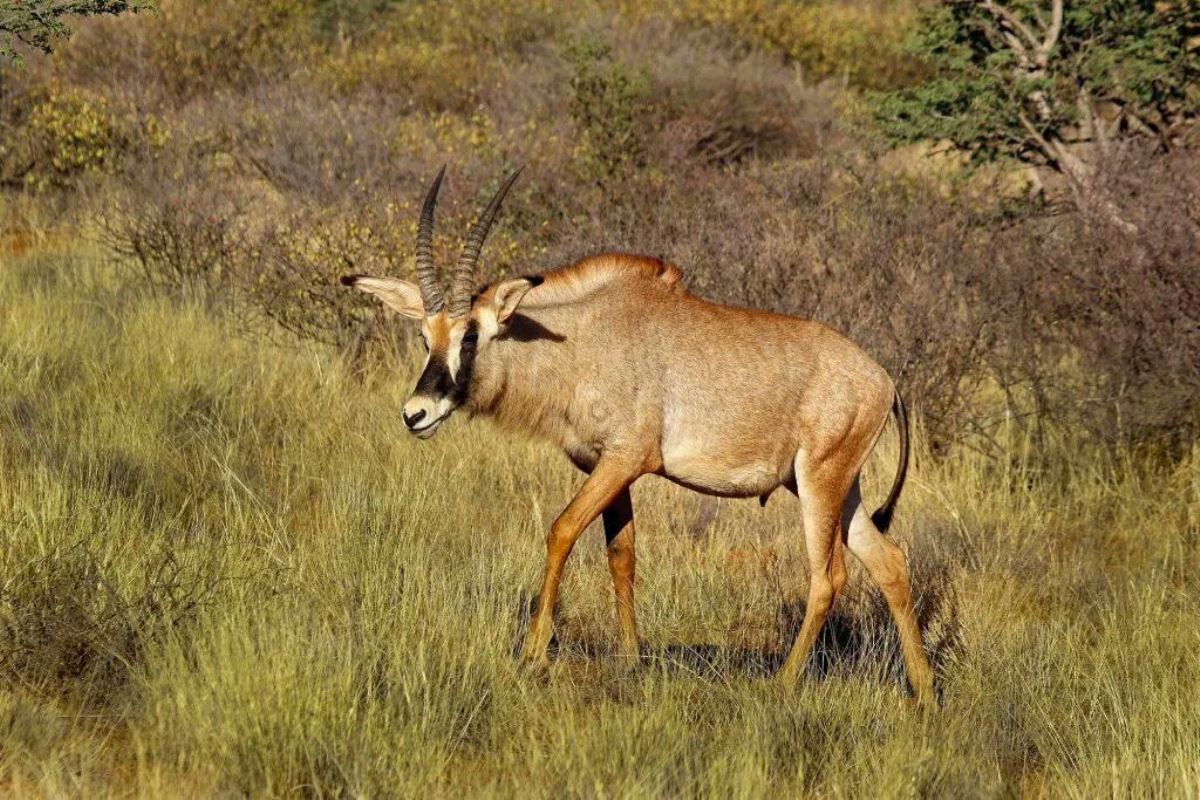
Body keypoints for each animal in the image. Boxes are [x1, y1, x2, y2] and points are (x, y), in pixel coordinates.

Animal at [338, 167, 936, 700]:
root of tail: (882, 379)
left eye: (471, 336)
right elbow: (621, 554)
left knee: (826, 577)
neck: (581, 338)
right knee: (889, 564)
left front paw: (533, 652)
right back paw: (924, 692)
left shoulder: (626, 459)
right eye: (424, 336)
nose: (416, 413)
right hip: (838, 490)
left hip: (820, 484)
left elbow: (561, 531)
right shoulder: (606, 466)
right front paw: (630, 661)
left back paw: (783, 684)